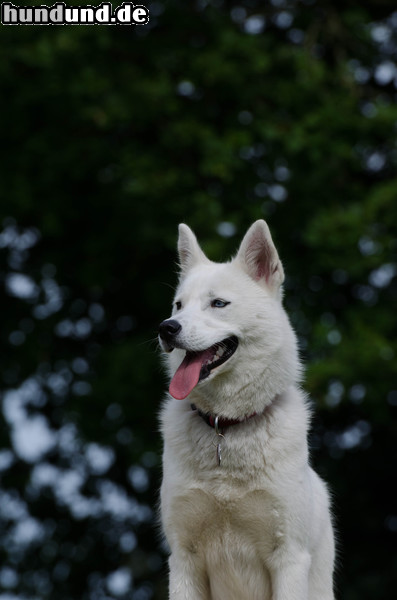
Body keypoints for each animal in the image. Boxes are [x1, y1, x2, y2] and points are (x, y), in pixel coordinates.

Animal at [158, 221, 334, 600]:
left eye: (218, 303)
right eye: (178, 305)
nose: (166, 328)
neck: (226, 426)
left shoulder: (289, 557)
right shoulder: (183, 560)